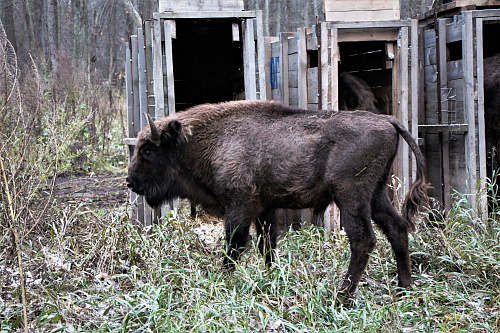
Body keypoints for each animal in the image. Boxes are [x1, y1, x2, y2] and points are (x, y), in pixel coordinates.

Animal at [127, 100, 428, 296]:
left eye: (148, 150)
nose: (130, 182)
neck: (212, 140)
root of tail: (388, 120)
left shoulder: (240, 207)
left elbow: (234, 246)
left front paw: (223, 280)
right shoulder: (265, 208)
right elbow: (267, 245)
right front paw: (271, 276)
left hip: (351, 196)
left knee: (363, 240)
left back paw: (342, 296)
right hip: (376, 195)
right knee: (397, 228)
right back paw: (404, 287)